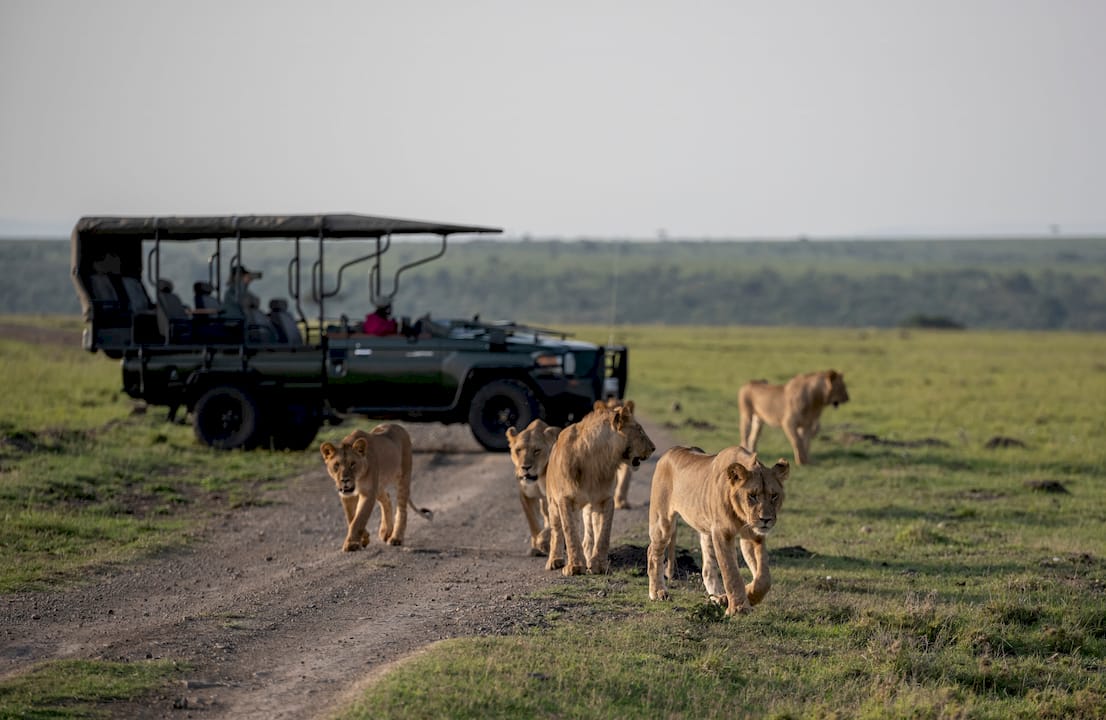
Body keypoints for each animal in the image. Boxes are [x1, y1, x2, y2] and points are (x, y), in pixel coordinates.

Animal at [505, 419, 561, 556]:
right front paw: (536, 546)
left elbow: (549, 527)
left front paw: (542, 542)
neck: (538, 478)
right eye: (518, 450)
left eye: (537, 450)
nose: (525, 467)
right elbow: (533, 524)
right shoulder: (526, 496)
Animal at [545, 400, 655, 576]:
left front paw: (598, 565)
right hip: (553, 503)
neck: (597, 460)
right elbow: (570, 532)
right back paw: (555, 560)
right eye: (639, 430)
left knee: (589, 531)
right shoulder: (565, 500)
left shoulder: (605, 499)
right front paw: (575, 567)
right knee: (557, 530)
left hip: (587, 507)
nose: (653, 448)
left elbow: (603, 533)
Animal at [648, 445, 789, 615]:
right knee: (652, 552)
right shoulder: (722, 533)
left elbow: (764, 577)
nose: (765, 519)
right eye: (752, 496)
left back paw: (719, 598)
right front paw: (739, 608)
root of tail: (670, 451)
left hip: (706, 531)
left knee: (707, 569)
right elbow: (731, 572)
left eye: (774, 496)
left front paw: (749, 595)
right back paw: (658, 592)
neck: (742, 516)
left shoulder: (752, 535)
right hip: (663, 521)